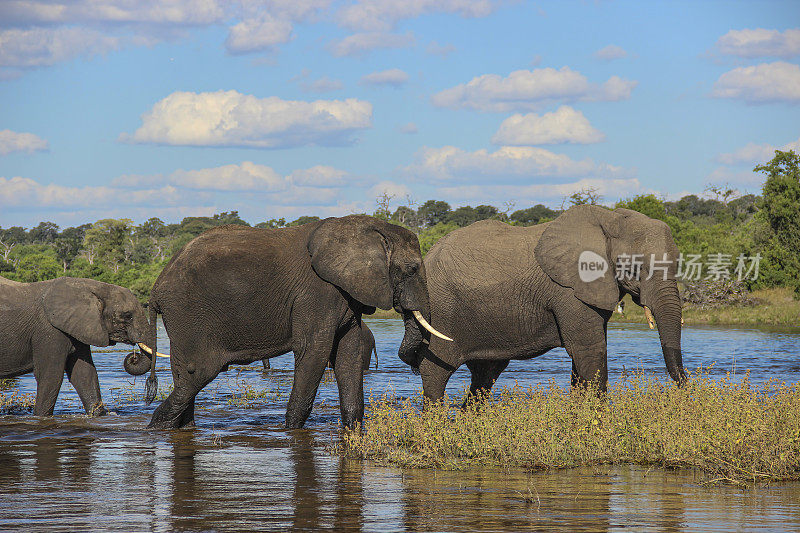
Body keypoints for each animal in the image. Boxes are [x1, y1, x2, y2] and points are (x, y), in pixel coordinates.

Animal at [0, 274, 156, 416]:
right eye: (127, 315)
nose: (134, 357)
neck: (88, 286)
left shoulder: (78, 327)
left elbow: (84, 374)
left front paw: (98, 415)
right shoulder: (49, 331)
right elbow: (51, 375)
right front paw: (40, 417)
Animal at [142, 215, 444, 428]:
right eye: (412, 269)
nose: (414, 366)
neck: (367, 227)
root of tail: (156, 289)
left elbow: (349, 353)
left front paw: (353, 428)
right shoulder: (318, 292)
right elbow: (315, 351)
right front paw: (291, 430)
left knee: (185, 378)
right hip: (188, 315)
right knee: (197, 374)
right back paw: (157, 427)